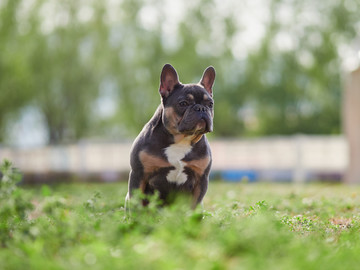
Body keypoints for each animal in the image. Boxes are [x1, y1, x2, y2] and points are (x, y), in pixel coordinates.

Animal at [124, 63, 214, 209]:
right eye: (183, 103)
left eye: (210, 104)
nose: (201, 108)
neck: (181, 140)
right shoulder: (139, 175)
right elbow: (137, 204)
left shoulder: (201, 179)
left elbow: (194, 207)